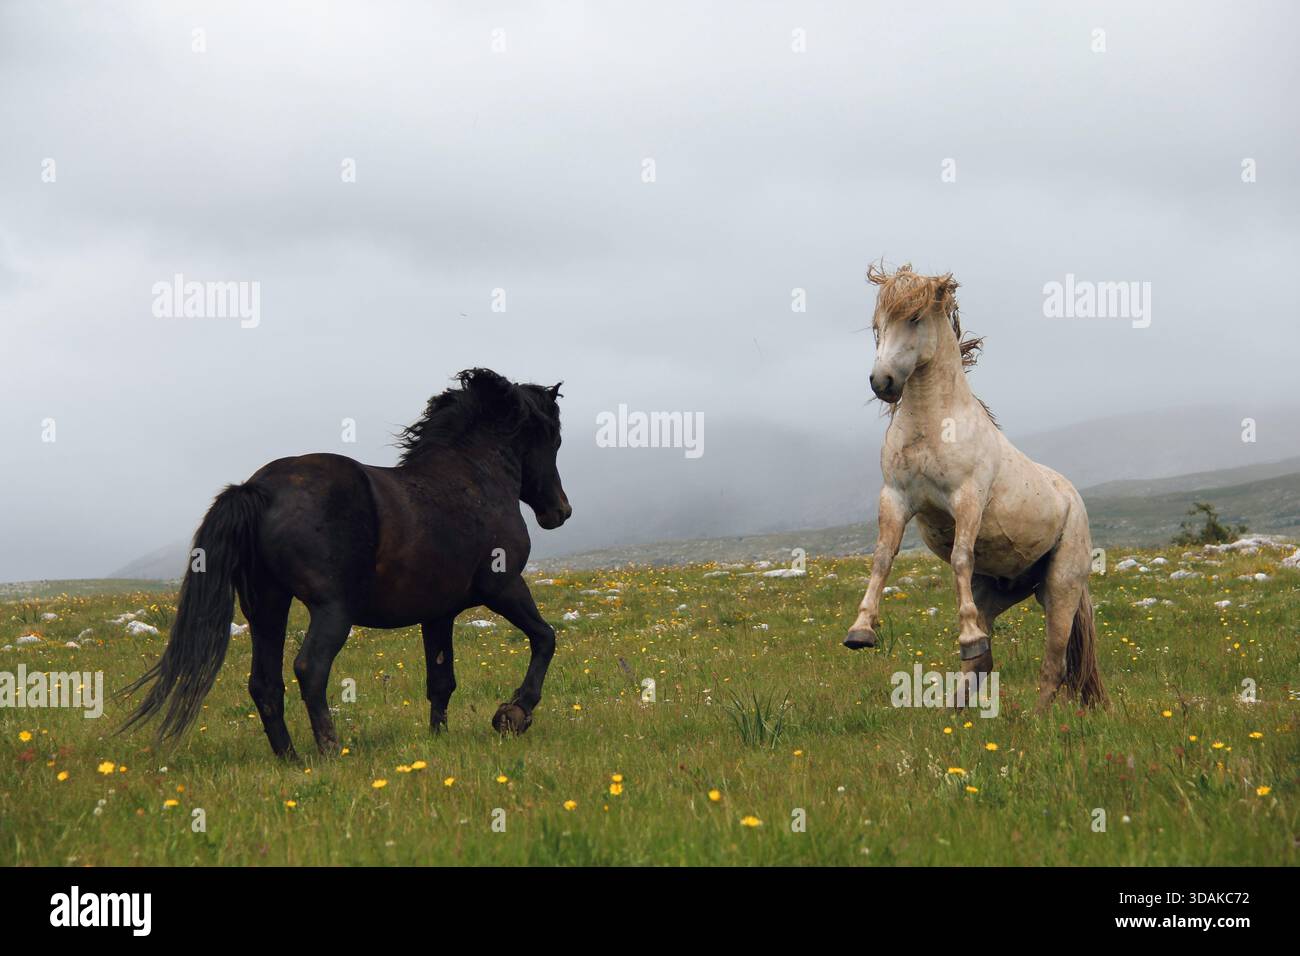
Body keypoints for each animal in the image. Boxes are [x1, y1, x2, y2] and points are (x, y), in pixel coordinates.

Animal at [121, 368, 572, 758]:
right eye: (553, 439)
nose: (560, 511)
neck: (472, 479)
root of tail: (260, 489)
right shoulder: (504, 586)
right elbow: (545, 638)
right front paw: (513, 714)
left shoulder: (437, 614)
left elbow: (441, 681)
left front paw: (439, 737)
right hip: (332, 609)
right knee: (310, 668)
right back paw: (330, 750)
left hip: (268, 607)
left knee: (265, 683)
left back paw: (291, 758)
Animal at [843, 263, 1106, 712]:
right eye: (877, 325)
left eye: (914, 318)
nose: (883, 382)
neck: (933, 425)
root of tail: (1072, 496)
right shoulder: (895, 497)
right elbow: (882, 559)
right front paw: (861, 631)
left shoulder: (967, 499)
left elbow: (961, 558)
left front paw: (966, 636)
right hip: (999, 591)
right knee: (983, 662)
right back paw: (955, 710)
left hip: (1060, 590)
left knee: (1052, 665)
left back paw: (1036, 718)